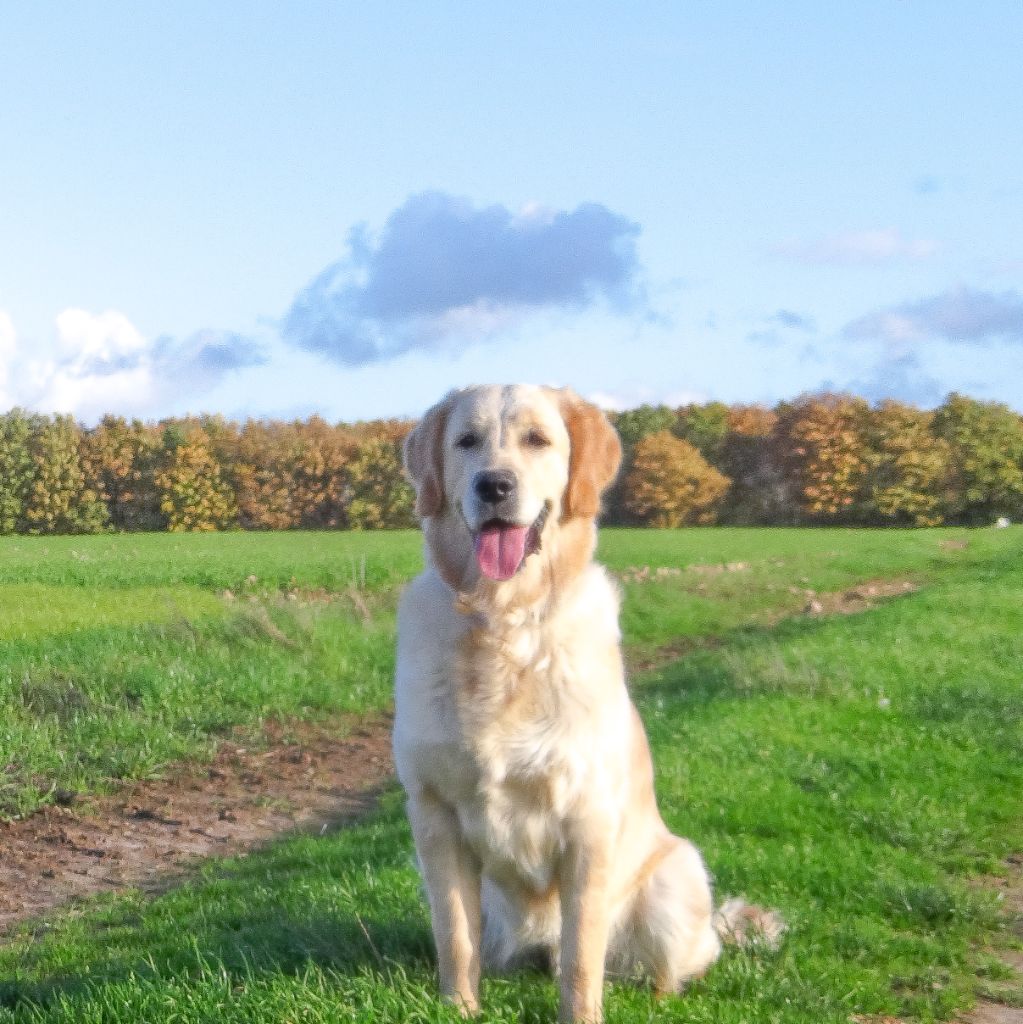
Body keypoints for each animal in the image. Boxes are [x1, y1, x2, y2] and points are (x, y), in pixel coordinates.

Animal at [395, 385, 778, 1024]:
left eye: (537, 440)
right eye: (466, 441)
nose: (494, 485)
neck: (503, 621)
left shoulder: (587, 822)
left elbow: (581, 956)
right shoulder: (434, 815)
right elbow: (455, 935)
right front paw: (460, 1008)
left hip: (677, 875)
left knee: (670, 969)